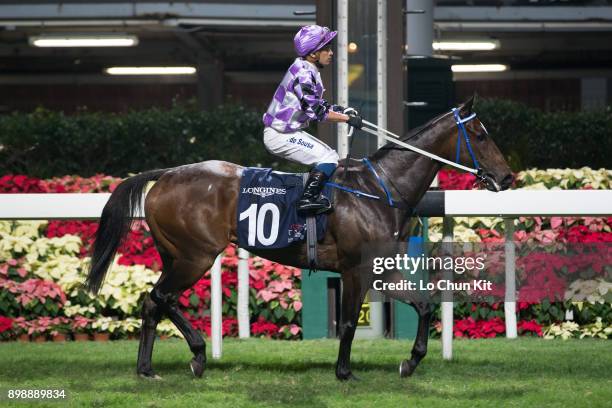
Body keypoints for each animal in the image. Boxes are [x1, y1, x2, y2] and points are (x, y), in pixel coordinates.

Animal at [82, 97, 512, 380]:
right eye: (480, 134)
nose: (507, 177)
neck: (380, 189)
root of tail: (167, 174)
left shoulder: (381, 268)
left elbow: (423, 307)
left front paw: (410, 361)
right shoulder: (356, 269)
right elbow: (349, 322)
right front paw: (344, 372)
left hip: (175, 256)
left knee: (152, 303)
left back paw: (147, 368)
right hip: (196, 256)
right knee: (162, 297)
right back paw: (198, 354)